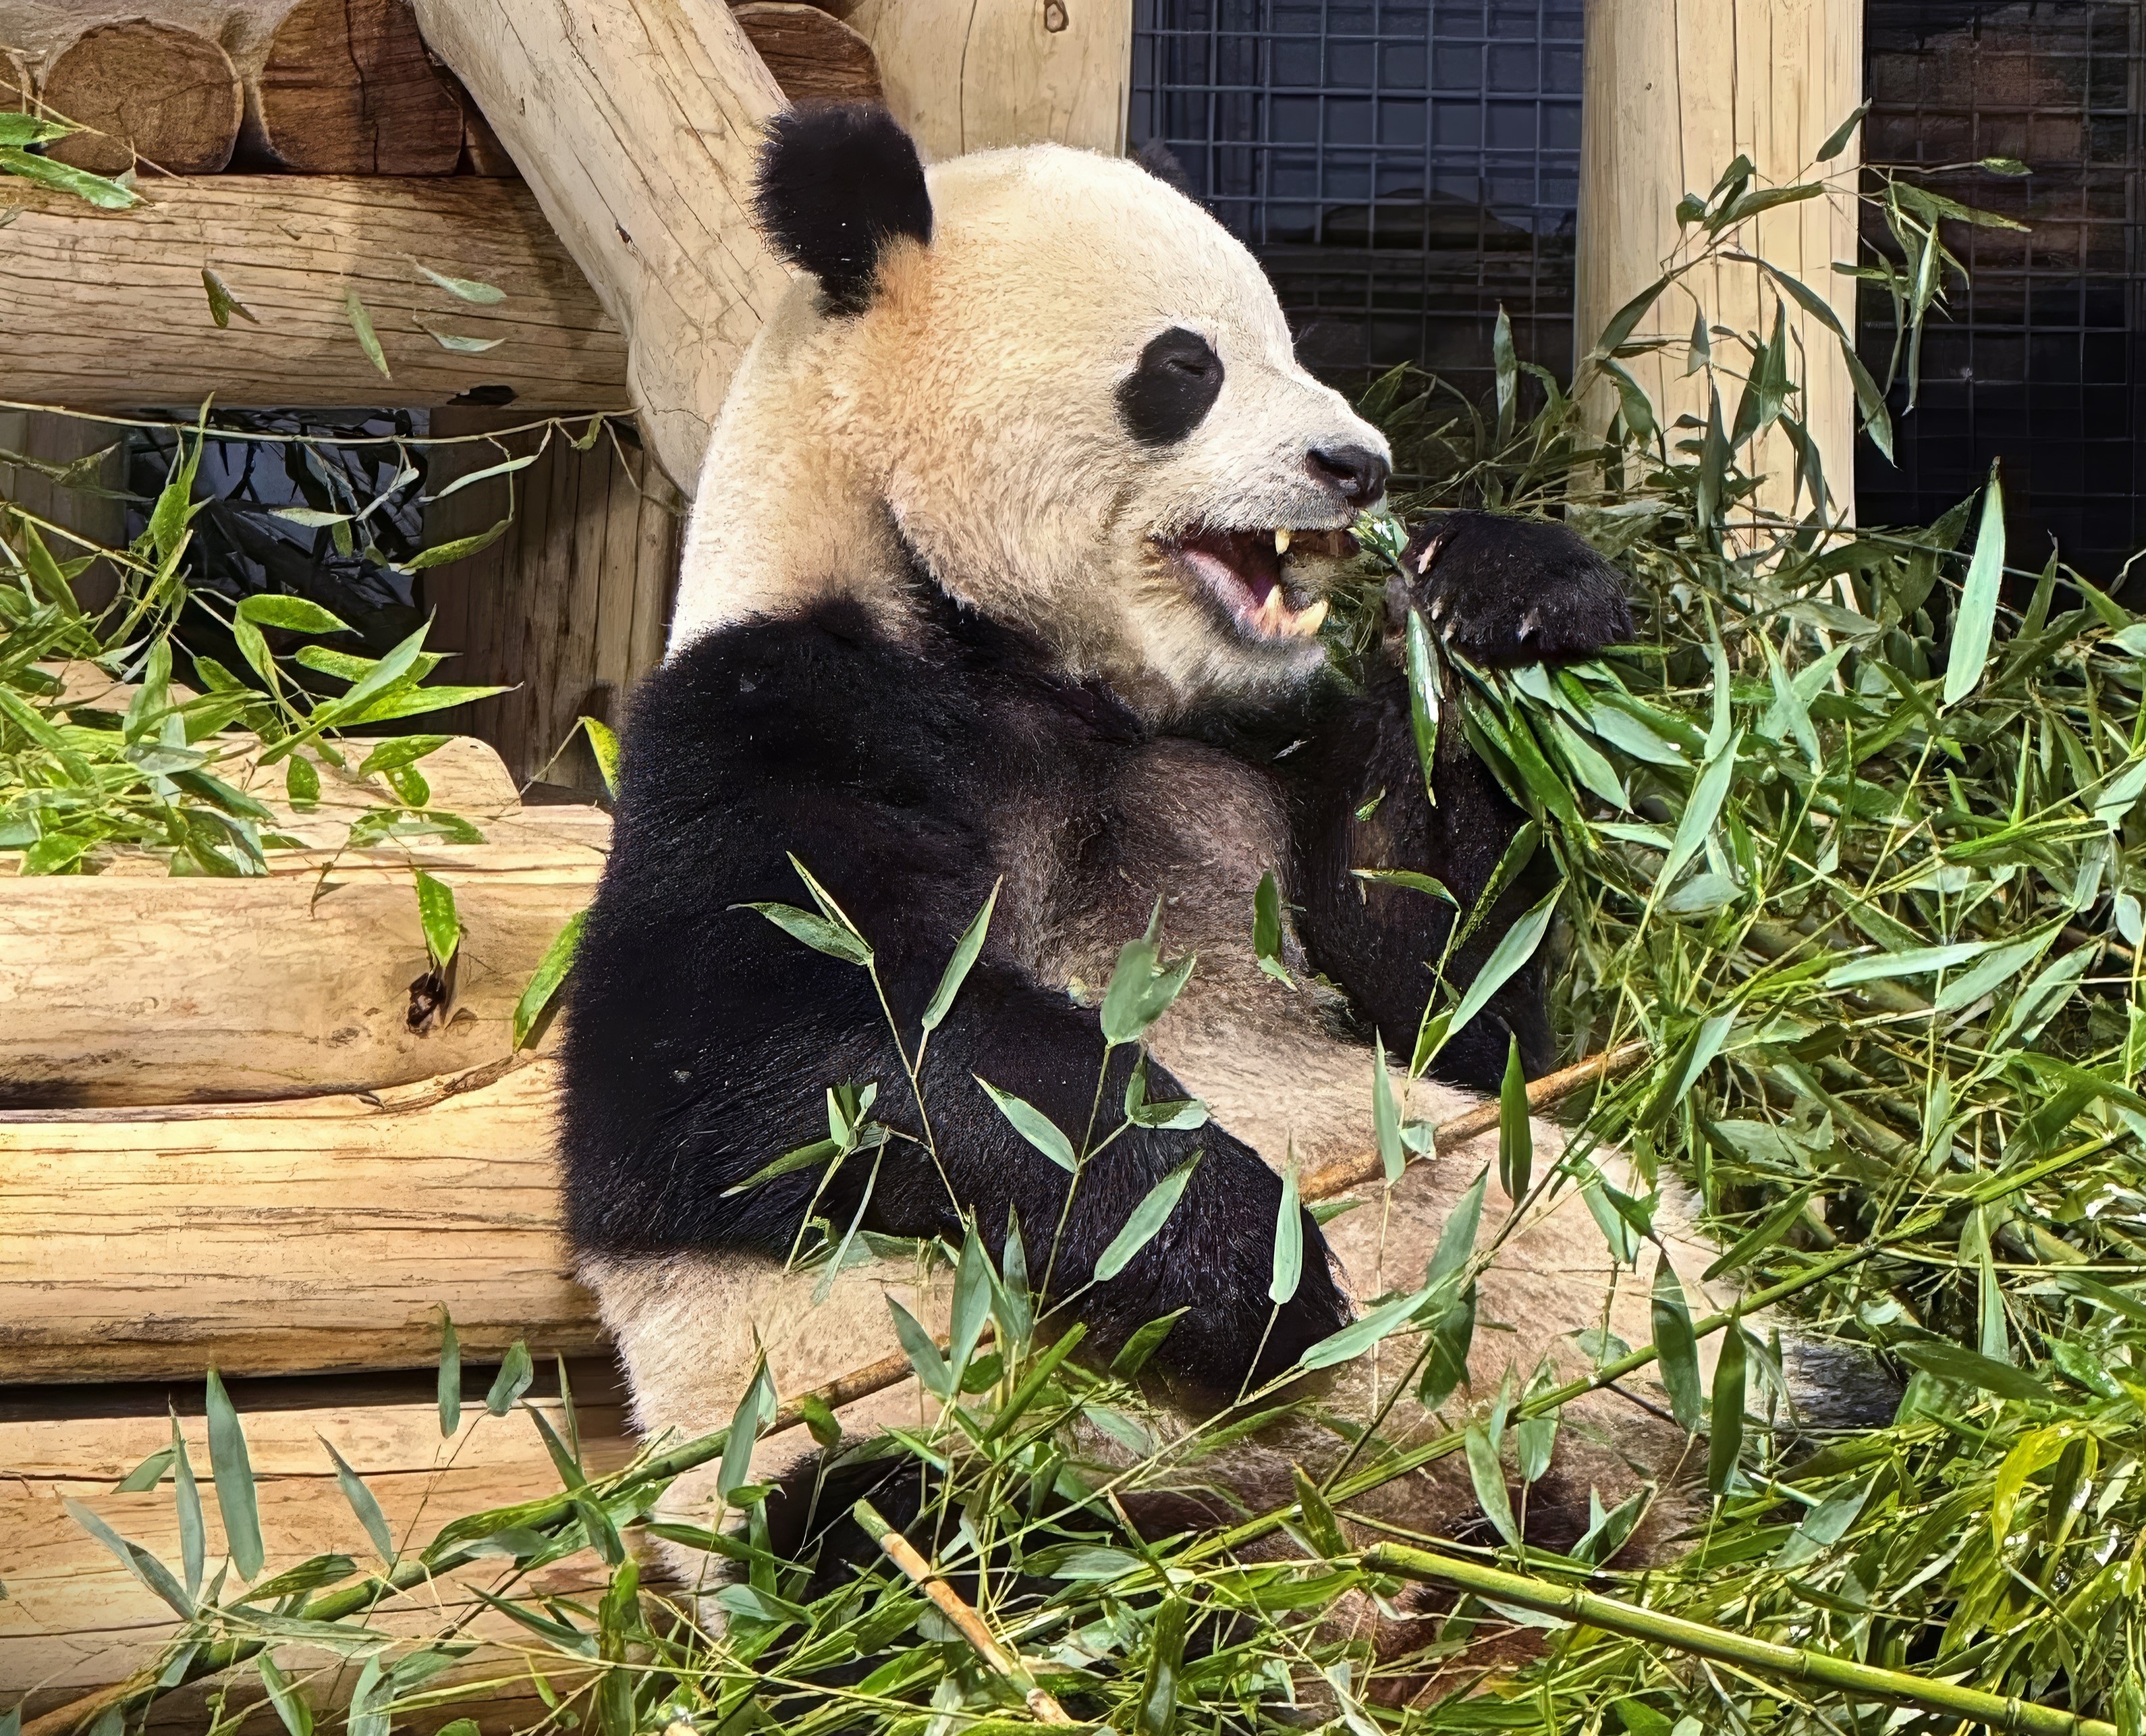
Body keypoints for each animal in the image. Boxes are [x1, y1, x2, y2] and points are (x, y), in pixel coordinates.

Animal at [559, 104, 1721, 1602]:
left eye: (1294, 344)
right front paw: (1232, 1248)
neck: (1027, 662)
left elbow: (1458, 1011)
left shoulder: (1249, 751)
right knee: (896, 1535)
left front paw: (1495, 598)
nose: (1359, 468)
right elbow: (762, 1051)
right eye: (1186, 368)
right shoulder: (767, 713)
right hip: (855, 1433)